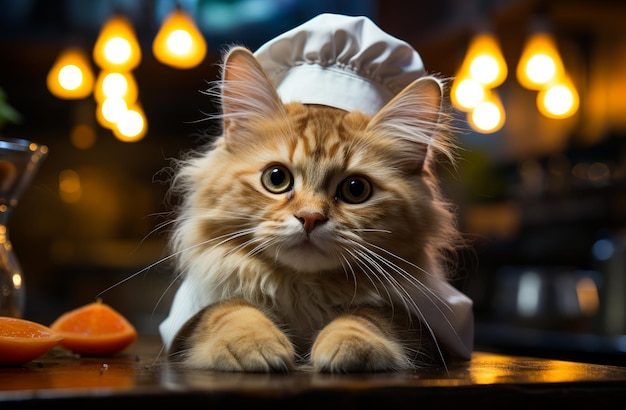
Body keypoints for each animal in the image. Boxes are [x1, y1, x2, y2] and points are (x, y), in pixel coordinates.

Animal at [158, 45, 470, 374]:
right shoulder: (192, 315)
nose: (309, 218)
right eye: (276, 178)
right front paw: (253, 342)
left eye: (356, 189)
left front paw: (347, 343)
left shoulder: (425, 322)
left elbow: (372, 313)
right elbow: (228, 308)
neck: (302, 290)